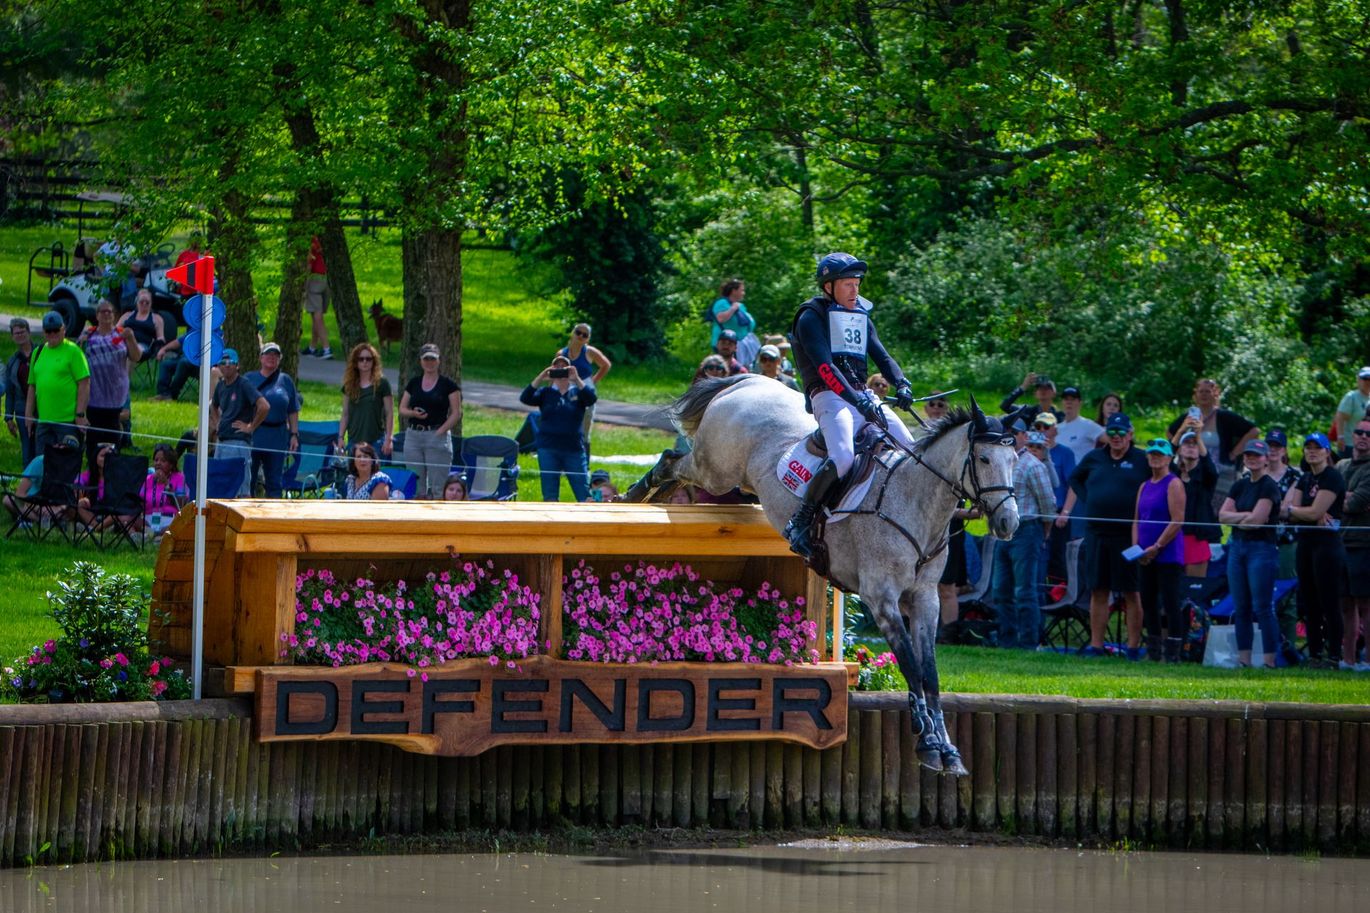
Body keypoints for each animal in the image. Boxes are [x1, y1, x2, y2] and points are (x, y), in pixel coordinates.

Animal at [621, 372, 1019, 773]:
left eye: (1015, 458)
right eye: (984, 458)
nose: (1008, 522)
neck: (913, 502)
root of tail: (748, 381)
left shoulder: (925, 599)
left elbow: (931, 673)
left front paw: (948, 750)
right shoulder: (882, 599)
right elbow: (911, 665)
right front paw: (927, 743)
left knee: (681, 469)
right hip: (715, 469)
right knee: (674, 461)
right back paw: (636, 495)